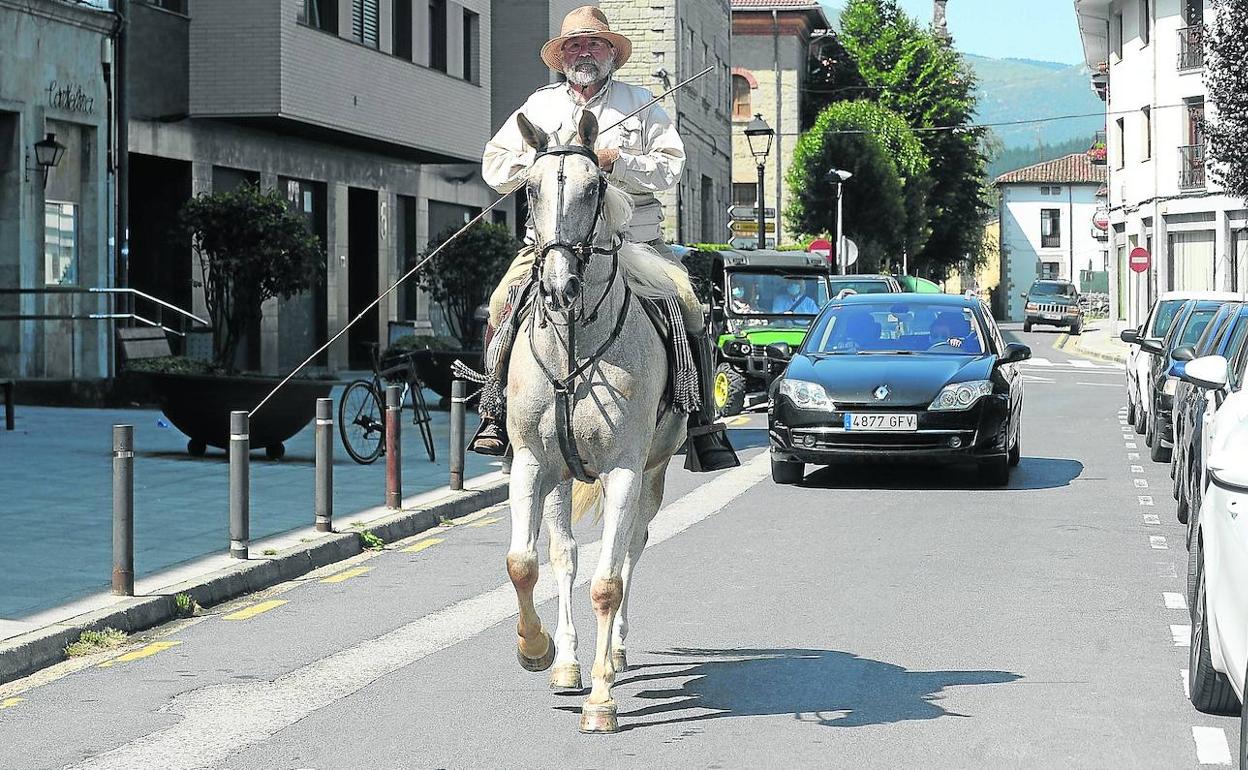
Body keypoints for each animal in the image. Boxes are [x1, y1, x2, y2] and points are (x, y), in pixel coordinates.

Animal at [501, 109, 688, 733]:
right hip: (562, 478)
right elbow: (524, 563)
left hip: (650, 474)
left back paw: (618, 651)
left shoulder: (626, 469)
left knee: (629, 549)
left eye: (593, 188)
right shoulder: (531, 464)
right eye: (530, 190)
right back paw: (567, 661)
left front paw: (602, 698)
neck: (575, 344)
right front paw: (537, 650)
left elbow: (607, 584)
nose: (560, 286)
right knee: (565, 556)